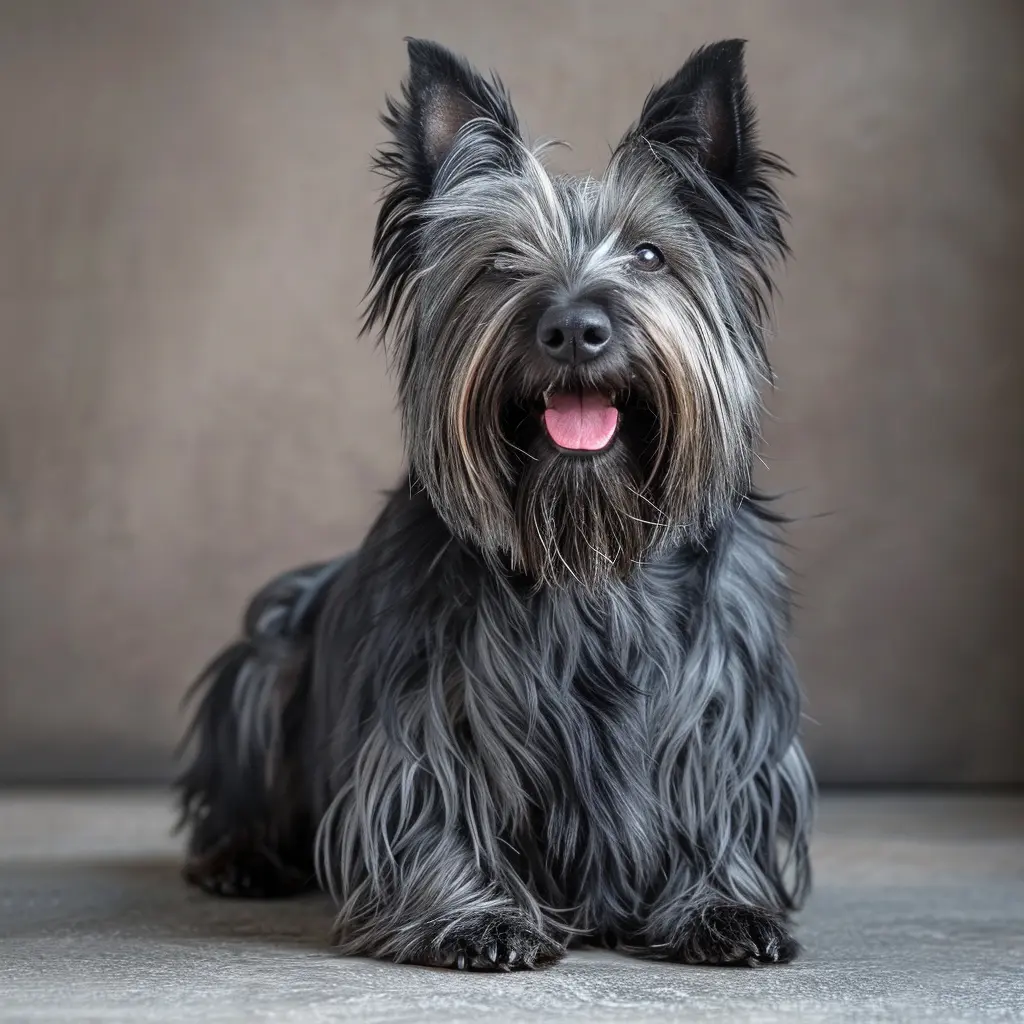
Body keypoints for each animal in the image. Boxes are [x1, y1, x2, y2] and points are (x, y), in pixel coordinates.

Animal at [178, 37, 815, 966]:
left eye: (651, 256)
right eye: (502, 262)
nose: (575, 328)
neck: (586, 548)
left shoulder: (720, 702)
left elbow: (715, 800)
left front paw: (722, 905)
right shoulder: (435, 707)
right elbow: (438, 797)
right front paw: (471, 914)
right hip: (264, 667)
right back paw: (241, 857)